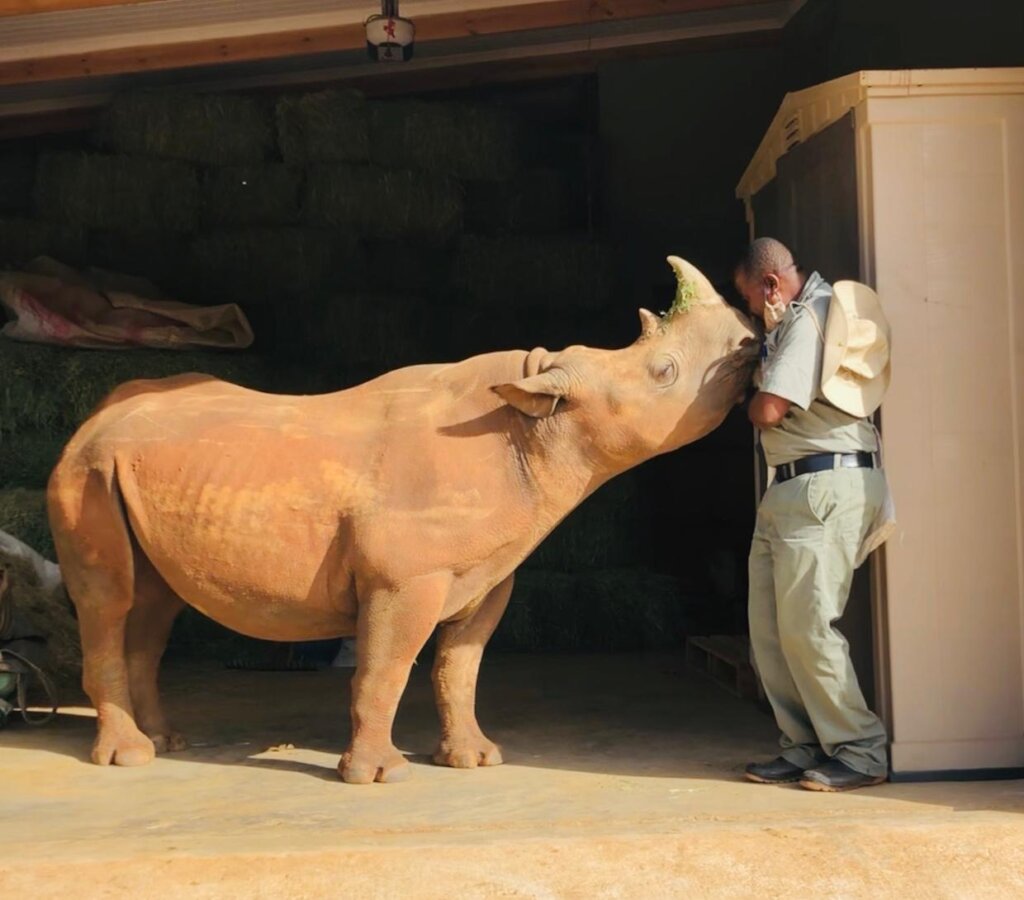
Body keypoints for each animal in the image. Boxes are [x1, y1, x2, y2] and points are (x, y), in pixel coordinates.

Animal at [48, 257, 757, 783]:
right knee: (110, 602)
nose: (750, 342)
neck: (535, 425)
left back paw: (167, 741)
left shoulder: (487, 576)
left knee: (153, 605)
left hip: (121, 468)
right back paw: (129, 758)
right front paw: (378, 775)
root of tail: (88, 422)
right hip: (85, 473)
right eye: (665, 373)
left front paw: (475, 760)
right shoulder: (404, 579)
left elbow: (459, 669)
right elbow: (386, 667)